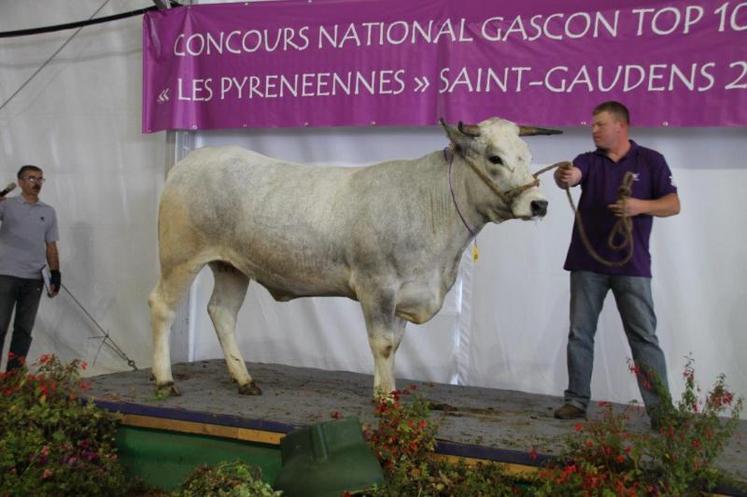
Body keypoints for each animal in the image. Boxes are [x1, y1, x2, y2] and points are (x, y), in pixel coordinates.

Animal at [150, 115, 560, 396]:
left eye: (527, 155)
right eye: (495, 158)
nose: (539, 204)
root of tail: (195, 159)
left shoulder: (405, 294)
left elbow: (393, 345)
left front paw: (385, 390)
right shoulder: (377, 284)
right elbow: (381, 342)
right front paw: (386, 398)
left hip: (231, 265)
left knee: (222, 312)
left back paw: (245, 380)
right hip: (180, 256)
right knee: (162, 306)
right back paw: (165, 380)